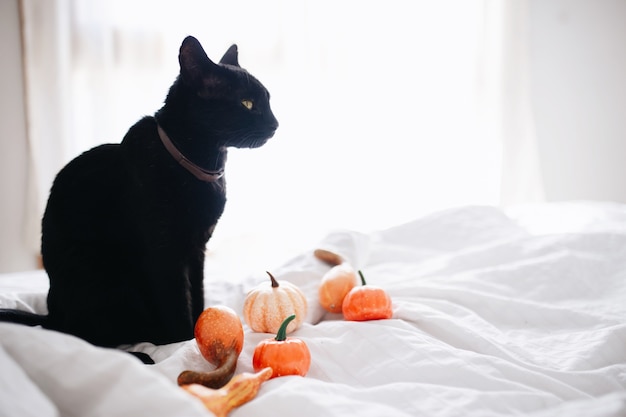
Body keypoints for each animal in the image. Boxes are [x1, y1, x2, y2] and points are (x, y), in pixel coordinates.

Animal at [0, 35, 278, 360]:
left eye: (267, 101)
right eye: (247, 104)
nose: (276, 123)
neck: (203, 166)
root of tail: (51, 314)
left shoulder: (196, 250)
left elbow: (196, 294)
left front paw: (199, 328)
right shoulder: (165, 254)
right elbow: (177, 302)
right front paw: (182, 343)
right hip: (107, 276)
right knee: (86, 338)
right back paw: (143, 354)